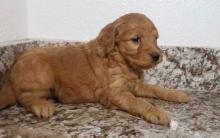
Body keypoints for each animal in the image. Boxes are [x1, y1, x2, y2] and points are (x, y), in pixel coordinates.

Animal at [0, 13, 189, 126]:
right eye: (136, 39)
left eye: (156, 38)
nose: (158, 55)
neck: (124, 63)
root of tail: (12, 69)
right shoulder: (115, 93)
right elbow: (139, 102)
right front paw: (157, 112)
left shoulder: (136, 85)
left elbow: (156, 89)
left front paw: (176, 94)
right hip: (42, 73)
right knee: (24, 96)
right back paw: (41, 106)